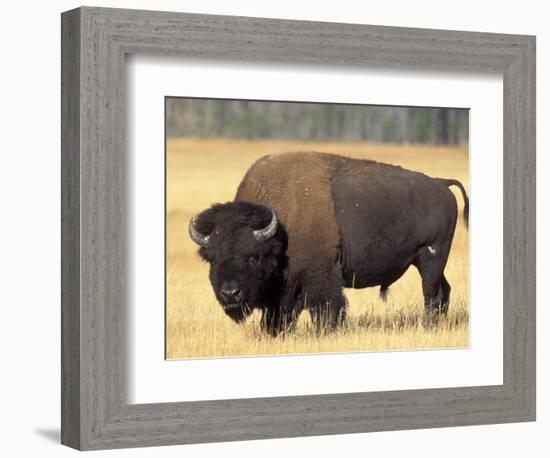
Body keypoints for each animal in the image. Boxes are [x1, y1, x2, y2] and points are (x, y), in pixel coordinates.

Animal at [190, 152, 470, 334]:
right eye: (212, 258)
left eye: (253, 256)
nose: (230, 293)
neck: (281, 224)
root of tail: (441, 184)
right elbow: (279, 314)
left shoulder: (319, 276)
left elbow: (325, 307)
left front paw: (325, 331)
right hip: (425, 261)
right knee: (444, 290)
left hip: (431, 256)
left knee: (431, 293)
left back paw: (427, 327)